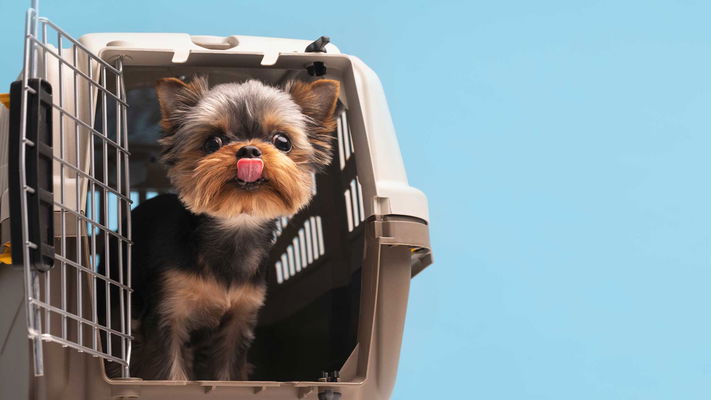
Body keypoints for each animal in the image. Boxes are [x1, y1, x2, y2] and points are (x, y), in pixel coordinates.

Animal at [126, 76, 340, 382]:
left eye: (283, 141)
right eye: (212, 142)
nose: (249, 150)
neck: (237, 227)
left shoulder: (238, 321)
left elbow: (227, 372)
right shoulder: (168, 314)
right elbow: (170, 372)